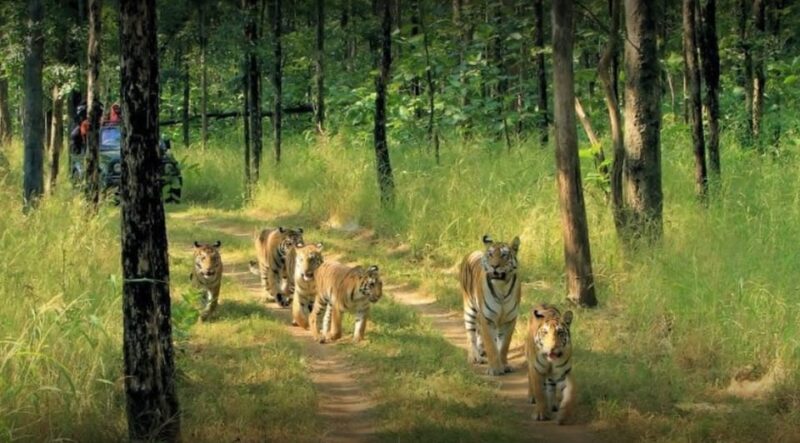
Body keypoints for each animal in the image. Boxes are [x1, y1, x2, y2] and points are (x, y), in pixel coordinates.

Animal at [459, 234, 522, 376]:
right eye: (490, 254)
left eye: (504, 255)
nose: (494, 266)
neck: (502, 288)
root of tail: (471, 253)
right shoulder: (487, 318)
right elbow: (491, 345)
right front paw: (495, 369)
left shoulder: (509, 320)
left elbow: (504, 345)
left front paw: (504, 365)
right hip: (469, 309)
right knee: (471, 335)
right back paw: (475, 356)